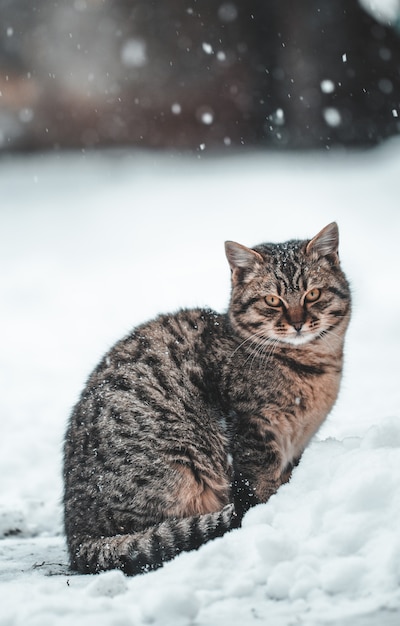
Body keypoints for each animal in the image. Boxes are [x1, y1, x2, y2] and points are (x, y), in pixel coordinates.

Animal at [62, 222, 350, 572]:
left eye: (313, 294)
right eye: (272, 300)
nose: (297, 323)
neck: (312, 367)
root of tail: (77, 536)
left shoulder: (295, 444)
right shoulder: (252, 430)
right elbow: (259, 484)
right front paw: (269, 513)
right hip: (177, 464)